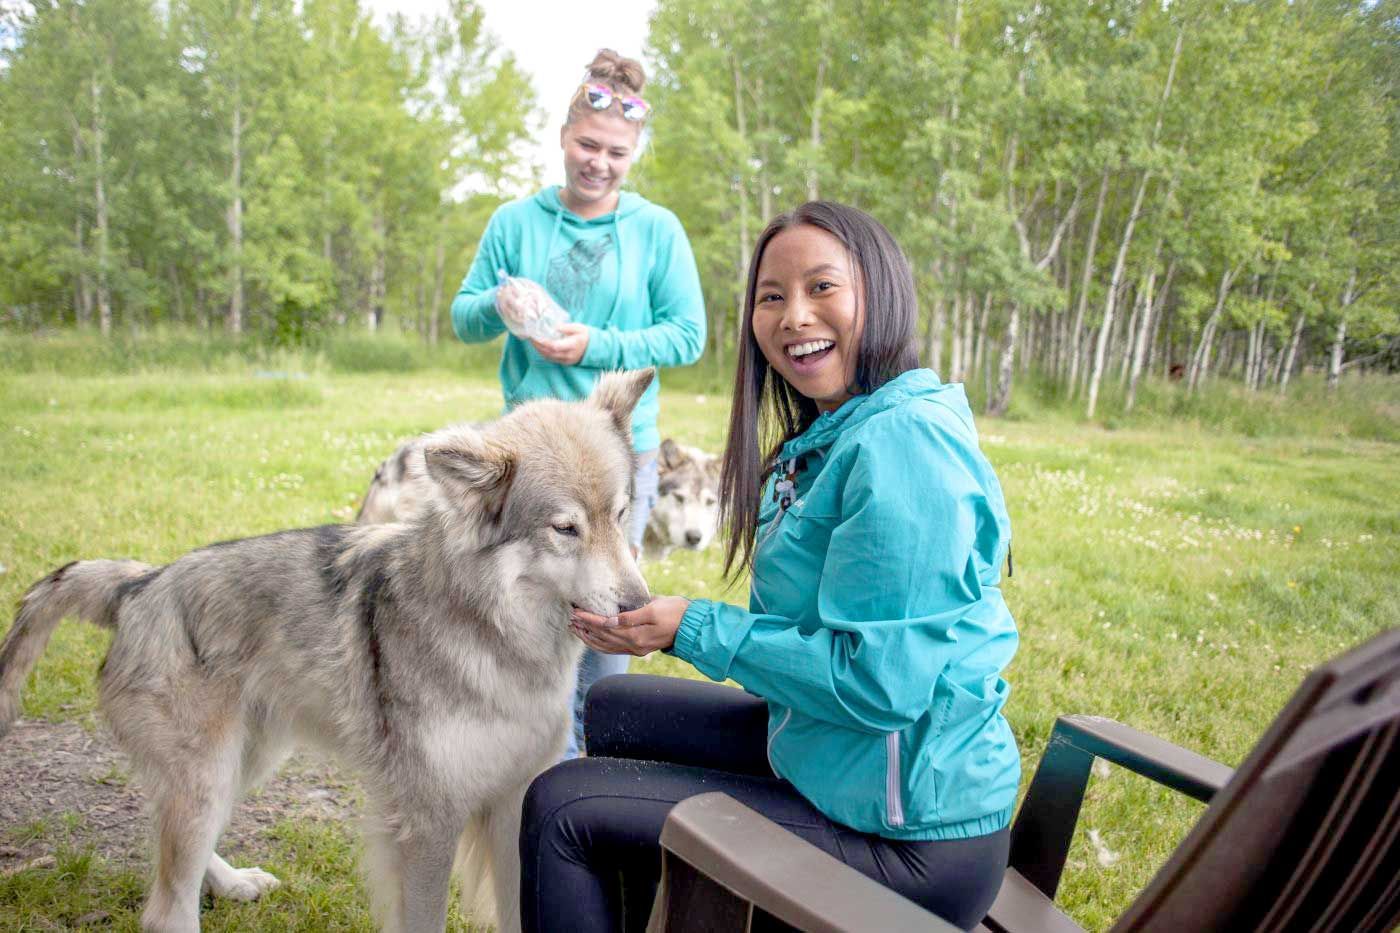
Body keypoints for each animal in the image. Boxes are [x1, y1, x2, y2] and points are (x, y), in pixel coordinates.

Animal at [0, 370, 655, 933]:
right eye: (565, 528)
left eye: (621, 515)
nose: (641, 606)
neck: (502, 642)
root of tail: (140, 584)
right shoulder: (427, 823)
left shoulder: (516, 804)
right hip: (211, 776)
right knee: (166, 907)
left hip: (245, 763)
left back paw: (233, 884)